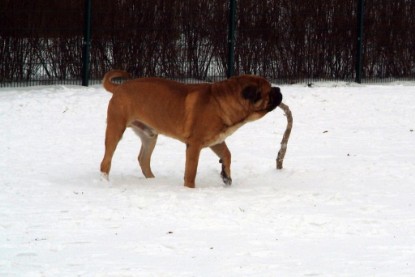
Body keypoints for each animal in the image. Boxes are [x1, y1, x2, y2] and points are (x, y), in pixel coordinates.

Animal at [100, 69, 282, 188]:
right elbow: (191, 171)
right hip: (115, 129)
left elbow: (227, 154)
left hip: (149, 136)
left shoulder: (217, 140)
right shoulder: (194, 145)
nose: (279, 89)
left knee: (143, 159)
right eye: (269, 90)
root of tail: (119, 87)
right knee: (106, 161)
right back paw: (105, 182)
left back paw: (153, 181)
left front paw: (226, 176)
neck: (220, 102)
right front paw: (190, 189)